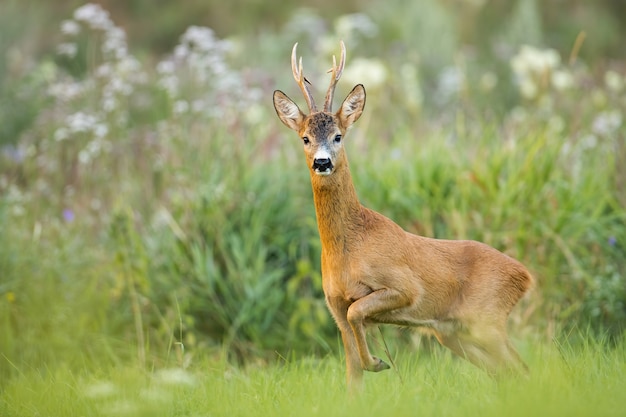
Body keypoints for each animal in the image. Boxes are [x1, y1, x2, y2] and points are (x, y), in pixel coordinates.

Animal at [272, 41, 532, 386]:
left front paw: (378, 361)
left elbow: (359, 314)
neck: (347, 249)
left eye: (339, 135)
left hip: (486, 319)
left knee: (523, 367)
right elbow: (352, 376)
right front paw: (370, 365)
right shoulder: (335, 306)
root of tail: (525, 276)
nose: (322, 162)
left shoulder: (403, 287)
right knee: (509, 372)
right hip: (454, 332)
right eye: (305, 138)